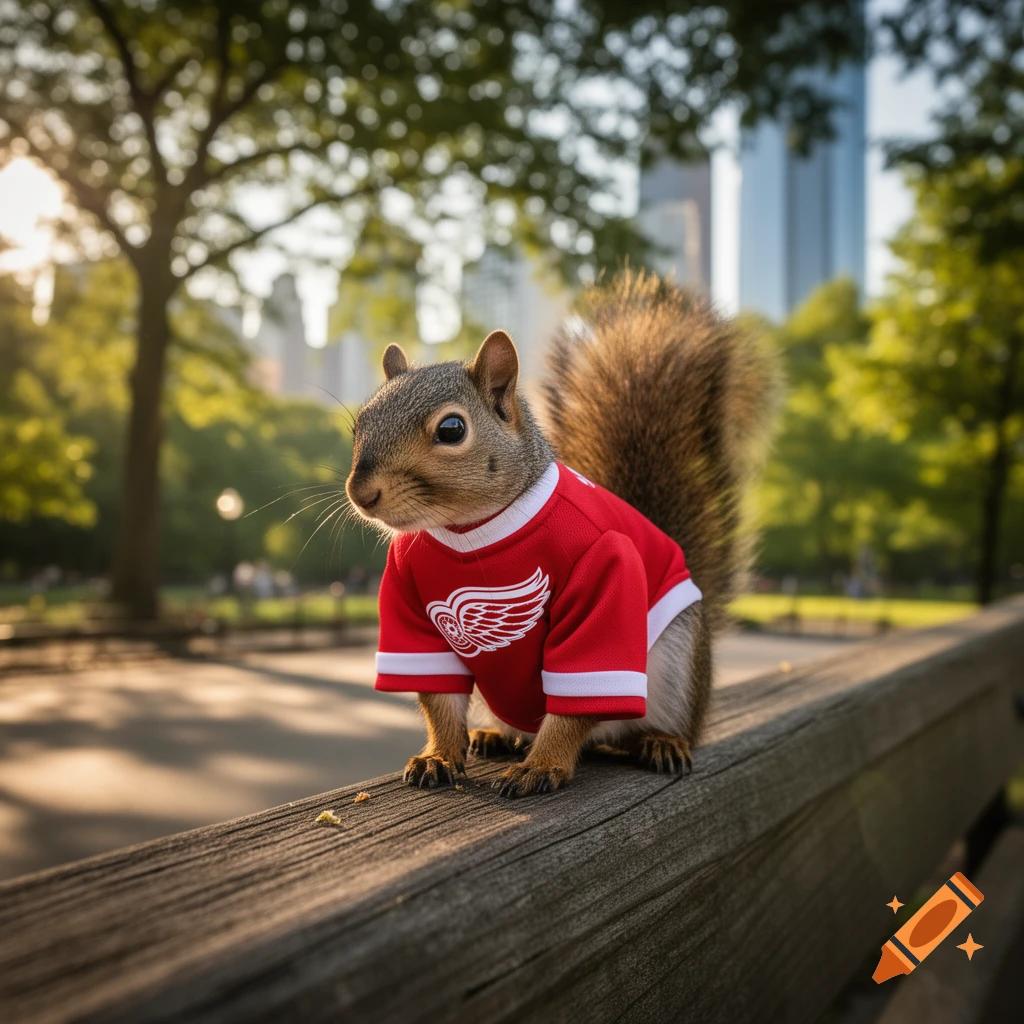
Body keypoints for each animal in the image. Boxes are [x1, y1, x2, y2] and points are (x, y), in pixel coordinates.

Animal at [346, 270, 778, 797]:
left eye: (451, 429)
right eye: (359, 425)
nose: (360, 492)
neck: (474, 532)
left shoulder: (604, 582)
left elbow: (574, 701)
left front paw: (543, 765)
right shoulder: (413, 612)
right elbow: (438, 698)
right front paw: (439, 755)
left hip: (675, 664)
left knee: (634, 726)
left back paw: (661, 741)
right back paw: (494, 735)